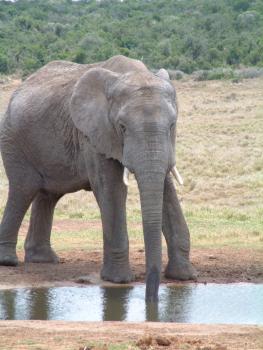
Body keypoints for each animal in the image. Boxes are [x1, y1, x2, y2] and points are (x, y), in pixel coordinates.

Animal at [0, 54, 196, 300]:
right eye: (122, 127)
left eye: (172, 125)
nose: (150, 299)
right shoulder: (94, 134)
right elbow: (111, 189)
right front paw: (118, 280)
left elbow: (165, 187)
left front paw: (184, 276)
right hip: (12, 137)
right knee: (23, 189)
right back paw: (8, 262)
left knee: (48, 195)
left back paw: (43, 260)